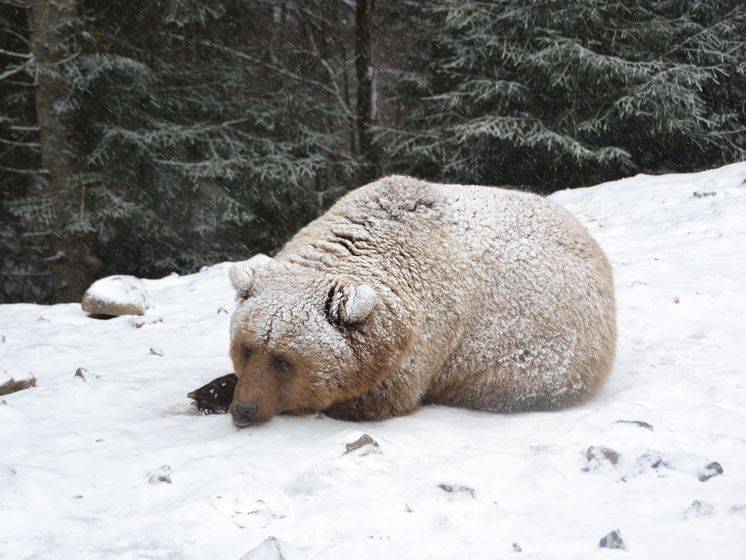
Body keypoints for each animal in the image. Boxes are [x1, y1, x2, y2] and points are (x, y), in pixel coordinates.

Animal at [228, 177, 616, 426]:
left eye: (284, 360)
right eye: (247, 348)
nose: (244, 409)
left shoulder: (427, 336)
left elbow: (375, 400)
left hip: (544, 354)